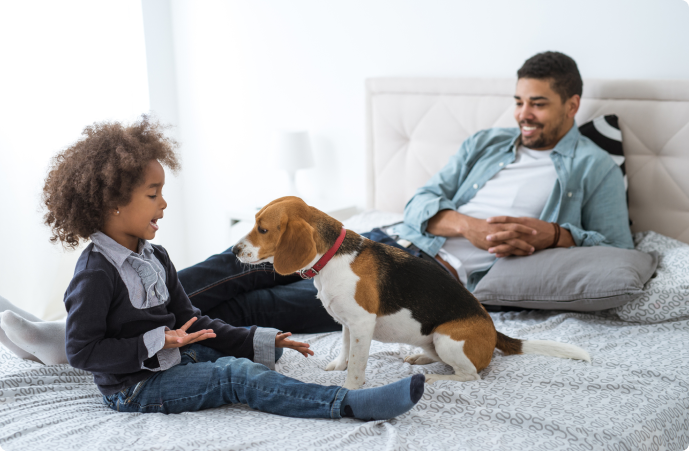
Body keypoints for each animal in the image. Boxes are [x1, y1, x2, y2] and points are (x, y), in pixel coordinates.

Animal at [234, 198, 588, 392]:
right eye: (253, 223)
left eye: (263, 229)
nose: (235, 250)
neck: (331, 257)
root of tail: (493, 330)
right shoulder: (347, 323)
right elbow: (346, 349)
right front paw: (338, 365)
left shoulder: (362, 324)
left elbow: (357, 364)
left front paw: (349, 388)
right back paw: (421, 357)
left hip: (448, 338)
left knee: (471, 376)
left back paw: (433, 378)